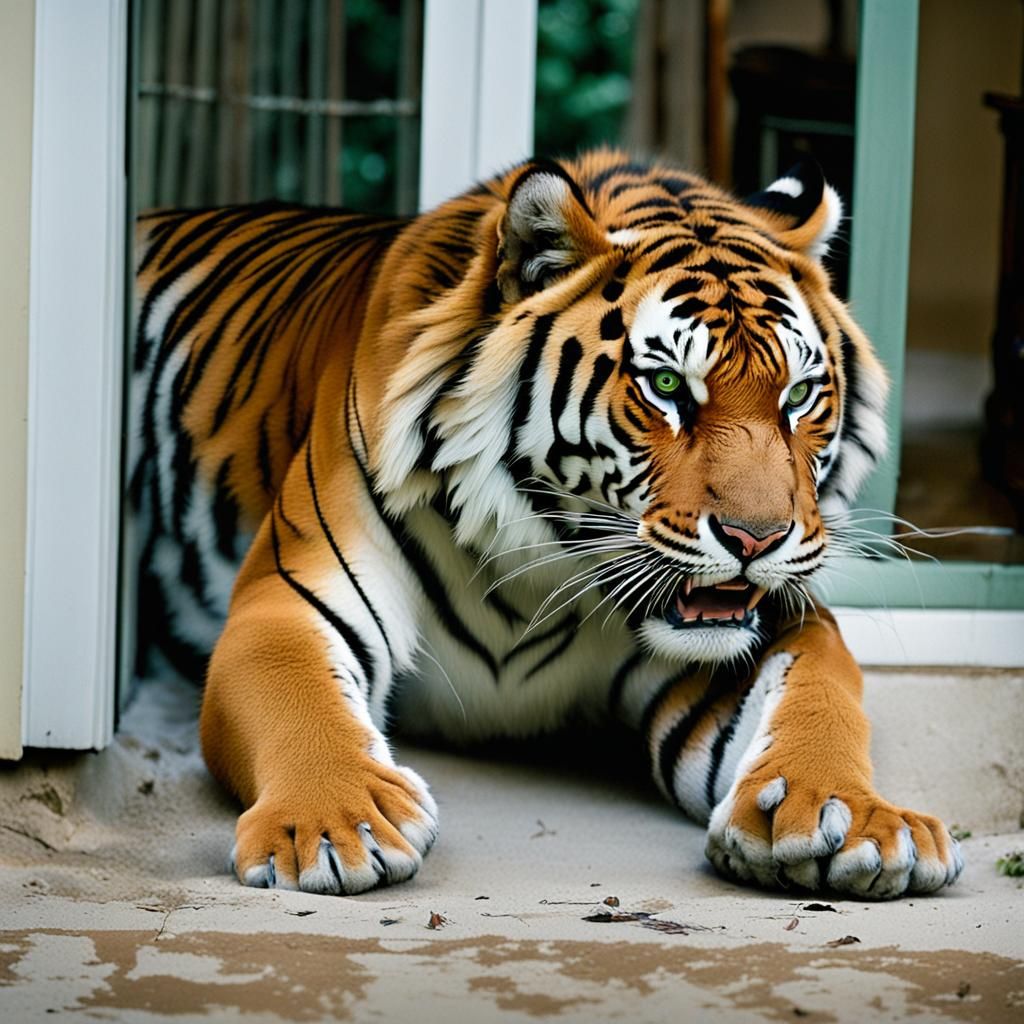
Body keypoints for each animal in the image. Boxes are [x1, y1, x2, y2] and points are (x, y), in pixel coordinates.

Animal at [131, 149, 963, 900]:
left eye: (797, 396)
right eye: (667, 386)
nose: (756, 539)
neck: (538, 565)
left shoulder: (770, 626)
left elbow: (821, 693)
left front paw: (848, 818)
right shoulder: (291, 600)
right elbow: (298, 697)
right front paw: (336, 825)